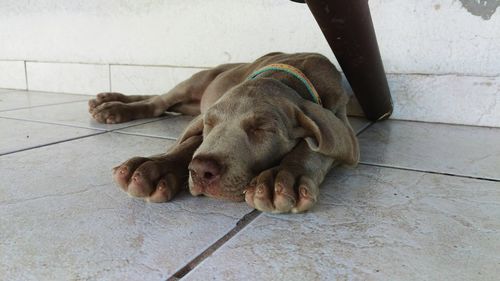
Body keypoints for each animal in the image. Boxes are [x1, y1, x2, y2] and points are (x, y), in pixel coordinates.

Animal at [88, 52, 358, 212]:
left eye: (261, 128)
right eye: (210, 123)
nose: (200, 171)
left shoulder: (343, 124)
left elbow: (315, 150)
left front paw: (283, 176)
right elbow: (190, 144)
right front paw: (153, 167)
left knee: (161, 104)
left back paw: (107, 102)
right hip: (195, 82)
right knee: (159, 102)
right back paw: (111, 106)